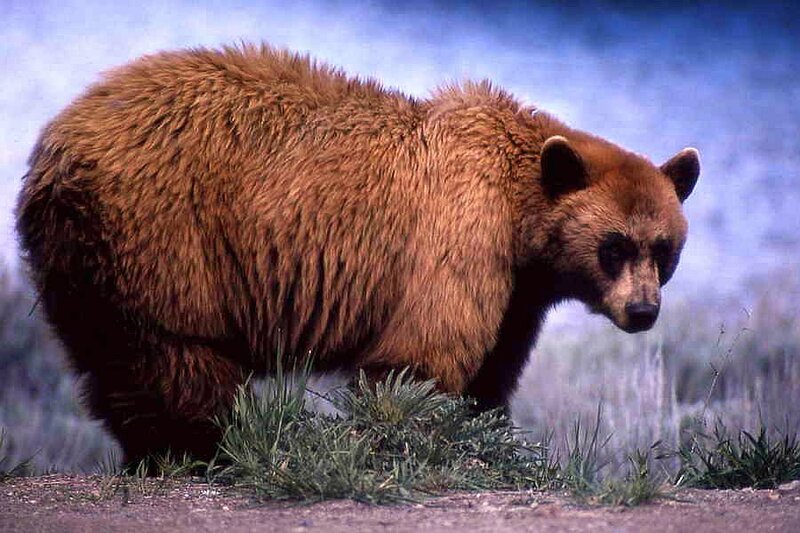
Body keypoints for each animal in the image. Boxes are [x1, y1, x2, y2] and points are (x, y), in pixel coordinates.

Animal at [15, 44, 700, 463]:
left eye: (664, 249)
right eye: (614, 245)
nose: (643, 311)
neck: (520, 219)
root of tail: (54, 146)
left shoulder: (517, 292)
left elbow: (493, 368)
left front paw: (484, 429)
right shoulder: (460, 238)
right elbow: (421, 357)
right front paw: (416, 440)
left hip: (88, 256)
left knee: (114, 355)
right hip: (166, 235)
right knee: (176, 357)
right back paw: (200, 449)